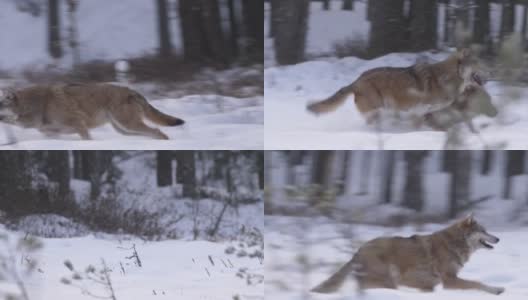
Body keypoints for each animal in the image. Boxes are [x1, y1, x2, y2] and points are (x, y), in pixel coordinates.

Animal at [0, 82, 186, 140]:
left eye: (0, 106)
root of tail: (131, 90)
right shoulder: (52, 134)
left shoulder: (79, 124)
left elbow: (87, 139)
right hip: (125, 130)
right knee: (153, 133)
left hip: (128, 125)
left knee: (158, 131)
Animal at [308, 49, 484, 125]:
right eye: (477, 62)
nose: (489, 71)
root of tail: (356, 81)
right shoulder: (418, 109)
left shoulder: (428, 112)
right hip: (376, 111)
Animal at [312, 214, 506, 296]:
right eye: (484, 231)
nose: (498, 238)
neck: (454, 243)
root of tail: (358, 250)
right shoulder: (449, 280)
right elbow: (478, 283)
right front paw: (497, 290)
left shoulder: (429, 284)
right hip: (389, 279)